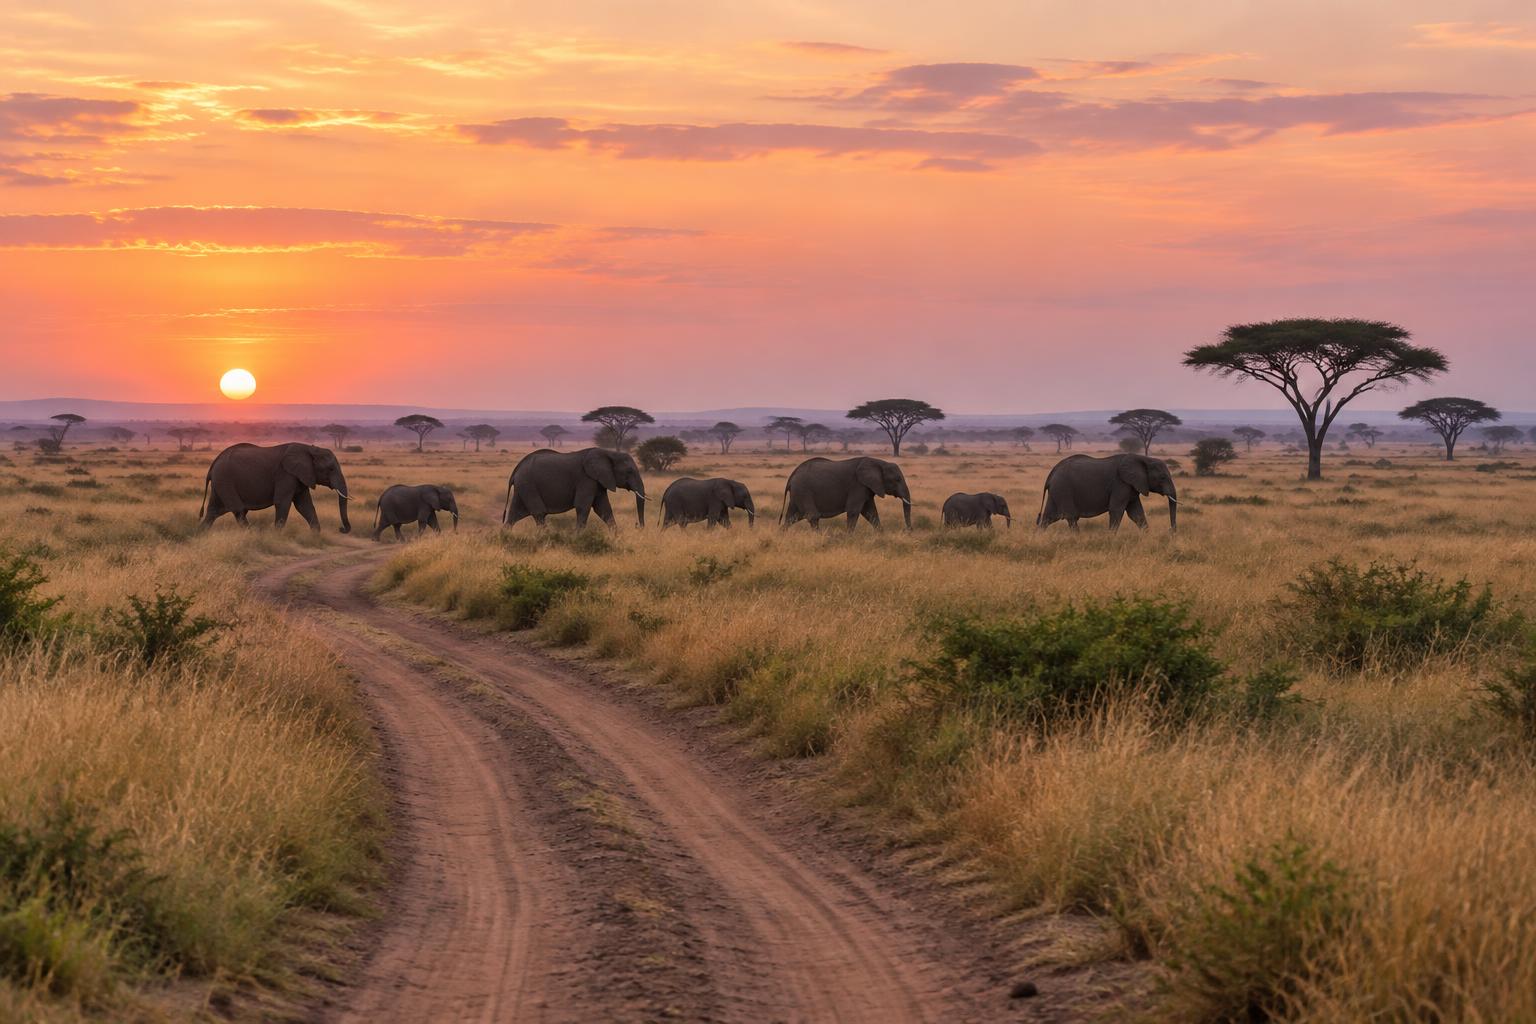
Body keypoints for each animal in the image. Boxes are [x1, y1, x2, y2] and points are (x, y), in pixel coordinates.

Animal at [199, 443, 352, 532]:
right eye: (331, 469)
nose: (341, 529)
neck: (310, 449)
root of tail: (214, 463)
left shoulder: (299, 476)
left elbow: (305, 506)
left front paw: (315, 537)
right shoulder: (285, 474)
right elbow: (282, 503)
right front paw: (277, 535)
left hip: (220, 483)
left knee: (213, 511)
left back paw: (201, 533)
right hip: (225, 480)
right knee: (239, 510)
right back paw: (252, 534)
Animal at [502, 447, 647, 529]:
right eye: (629, 471)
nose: (638, 526)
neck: (609, 453)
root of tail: (516, 470)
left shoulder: (598, 481)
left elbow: (604, 509)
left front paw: (616, 538)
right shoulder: (586, 479)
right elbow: (583, 507)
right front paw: (578, 538)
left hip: (523, 487)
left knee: (513, 516)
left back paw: (505, 538)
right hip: (528, 485)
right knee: (539, 513)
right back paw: (546, 538)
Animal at [780, 456, 912, 531]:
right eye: (897, 479)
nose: (908, 531)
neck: (879, 462)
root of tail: (792, 475)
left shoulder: (867, 487)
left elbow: (871, 513)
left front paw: (881, 535)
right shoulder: (857, 485)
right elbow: (854, 511)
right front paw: (849, 538)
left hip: (797, 493)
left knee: (792, 517)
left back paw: (782, 535)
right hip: (803, 490)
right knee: (812, 516)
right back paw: (820, 537)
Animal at [1037, 453, 1177, 531]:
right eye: (1162, 477)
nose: (1171, 531)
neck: (1144, 459)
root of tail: (1052, 473)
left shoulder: (1131, 486)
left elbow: (1137, 514)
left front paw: (1147, 537)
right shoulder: (1120, 484)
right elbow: (1116, 510)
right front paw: (1111, 538)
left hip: (1057, 491)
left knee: (1048, 518)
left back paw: (1039, 537)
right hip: (1063, 489)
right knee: (1071, 517)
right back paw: (1077, 538)